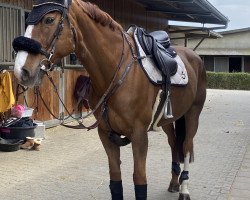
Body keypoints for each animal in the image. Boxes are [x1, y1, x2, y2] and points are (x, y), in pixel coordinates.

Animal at [12, 0, 206, 199]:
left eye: (49, 20)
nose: (21, 71)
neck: (118, 72)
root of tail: (195, 56)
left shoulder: (139, 135)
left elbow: (139, 178)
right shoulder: (106, 134)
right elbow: (115, 178)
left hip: (193, 114)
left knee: (187, 146)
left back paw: (184, 190)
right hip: (168, 120)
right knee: (174, 144)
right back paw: (174, 183)